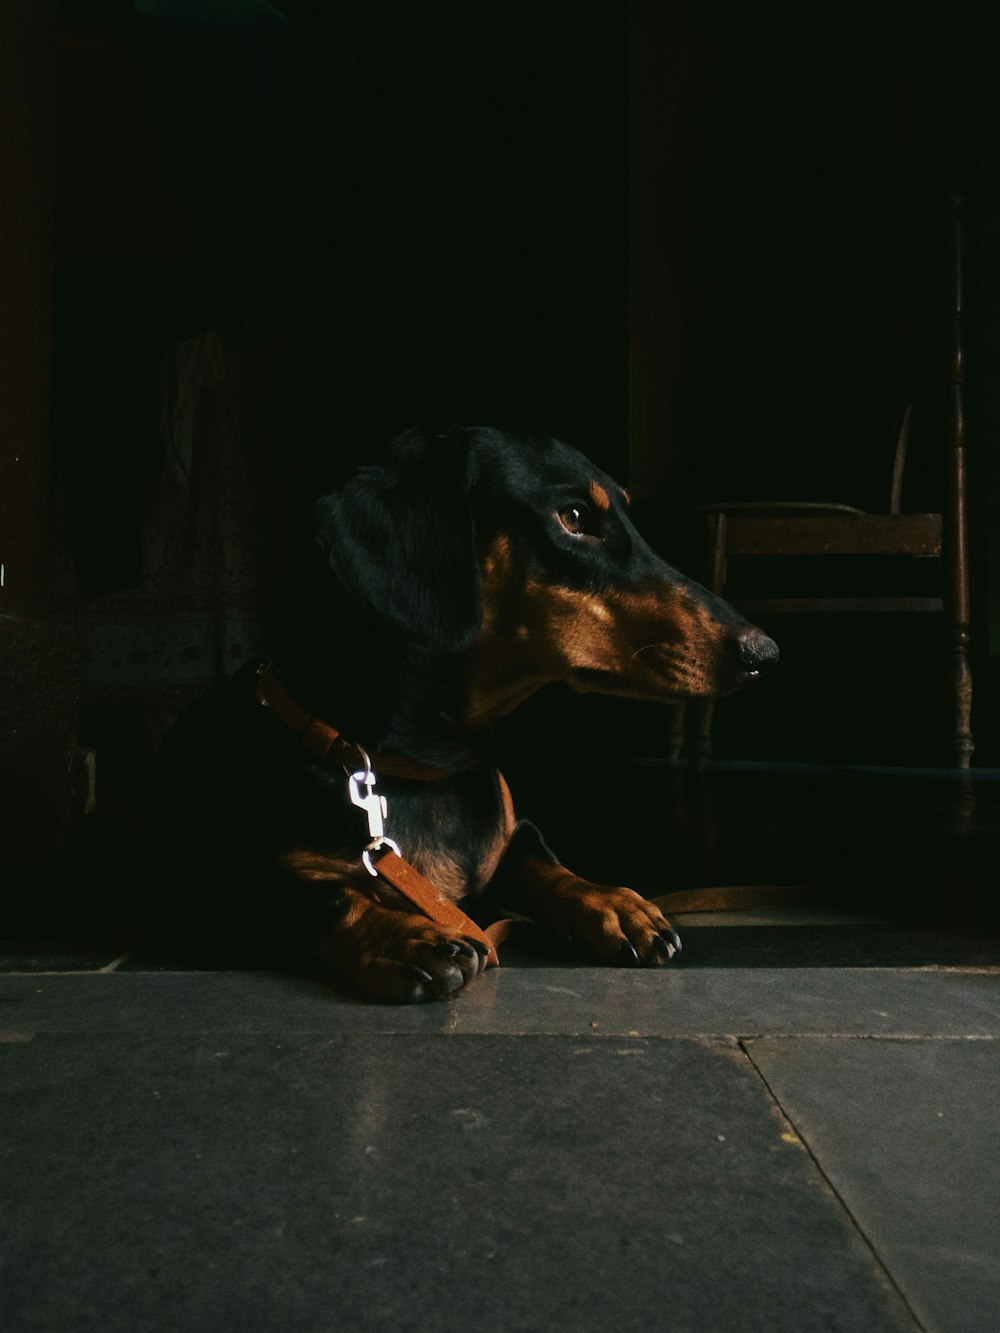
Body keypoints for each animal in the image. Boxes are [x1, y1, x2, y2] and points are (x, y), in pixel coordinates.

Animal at [160, 426, 778, 1002]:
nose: (764, 655)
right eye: (574, 517)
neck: (424, 766)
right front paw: (402, 937)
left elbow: (543, 864)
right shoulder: (217, 888)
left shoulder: (517, 832)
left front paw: (610, 901)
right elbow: (323, 895)